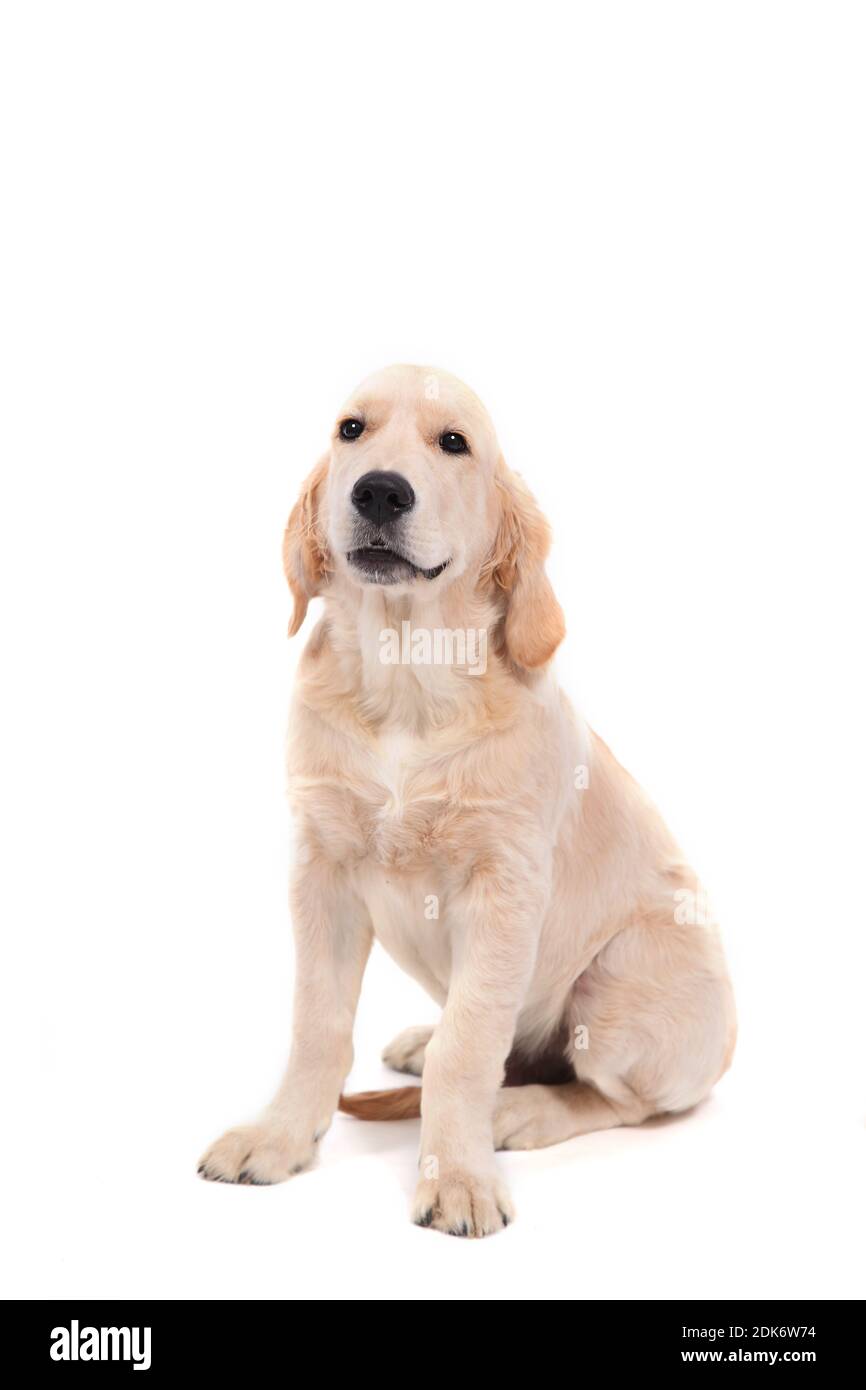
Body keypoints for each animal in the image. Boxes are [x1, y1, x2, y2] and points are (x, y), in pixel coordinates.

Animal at [201, 364, 739, 1234]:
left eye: (453, 443)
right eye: (351, 430)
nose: (380, 491)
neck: (405, 675)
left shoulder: (503, 887)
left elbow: (471, 1044)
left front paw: (456, 1174)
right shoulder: (320, 869)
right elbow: (318, 1023)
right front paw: (279, 1137)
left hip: (620, 983)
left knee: (619, 1099)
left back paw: (521, 1111)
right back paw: (427, 1044)